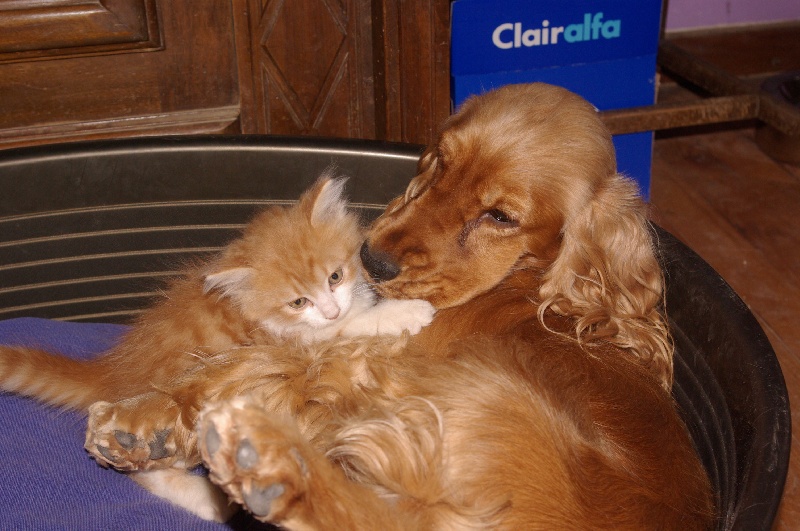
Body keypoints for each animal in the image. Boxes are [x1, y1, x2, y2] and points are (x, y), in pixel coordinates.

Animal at [0, 172, 435, 521]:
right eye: (298, 302)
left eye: (335, 276)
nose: (330, 309)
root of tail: (113, 372)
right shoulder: (296, 341)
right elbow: (351, 329)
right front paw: (406, 312)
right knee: (143, 466)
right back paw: (206, 500)